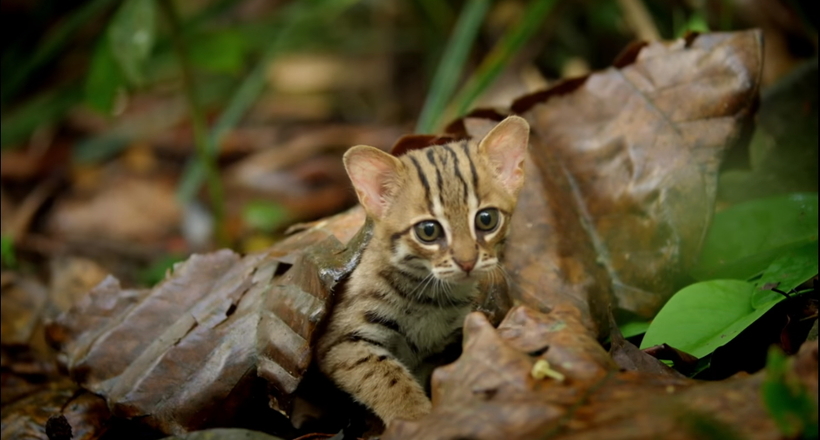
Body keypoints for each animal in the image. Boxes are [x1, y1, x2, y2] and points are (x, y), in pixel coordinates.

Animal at [314, 115, 532, 424]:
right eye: (428, 231)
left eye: (487, 219)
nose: (467, 262)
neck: (431, 297)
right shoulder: (340, 342)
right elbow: (387, 378)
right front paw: (417, 419)